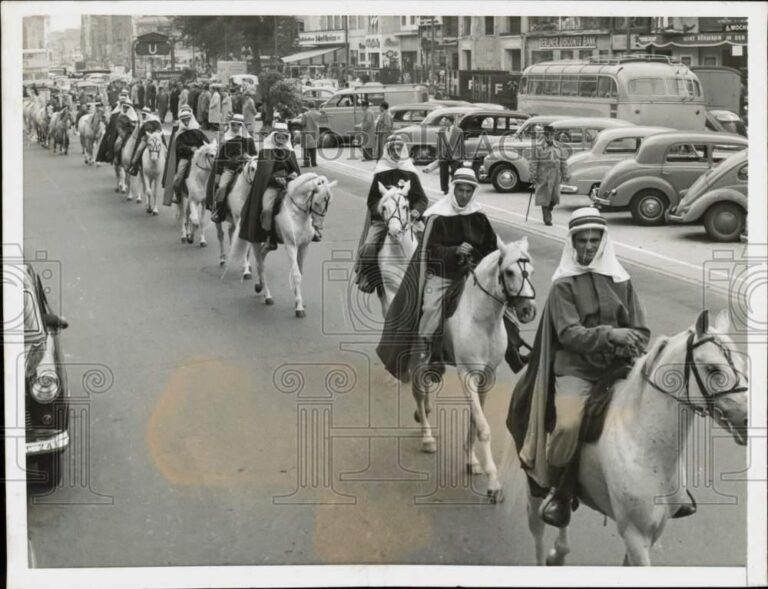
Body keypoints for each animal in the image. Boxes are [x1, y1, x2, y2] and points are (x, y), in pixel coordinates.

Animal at [226, 172, 338, 316]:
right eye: (317, 202)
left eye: (330, 202)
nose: (319, 226)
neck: (296, 213)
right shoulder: (291, 246)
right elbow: (296, 275)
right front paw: (299, 308)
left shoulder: (303, 247)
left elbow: (300, 272)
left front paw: (298, 300)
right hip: (256, 241)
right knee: (260, 264)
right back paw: (267, 295)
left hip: (270, 244)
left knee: (262, 256)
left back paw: (259, 285)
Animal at [414, 239, 536, 500]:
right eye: (509, 272)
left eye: (531, 271)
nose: (528, 311)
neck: (481, 320)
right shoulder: (467, 375)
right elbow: (483, 426)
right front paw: (493, 482)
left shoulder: (487, 377)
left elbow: (474, 418)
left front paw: (471, 460)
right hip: (419, 355)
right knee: (418, 392)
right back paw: (426, 436)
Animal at [512, 310, 748, 564]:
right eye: (713, 369)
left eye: (742, 363)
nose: (747, 419)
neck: (645, 445)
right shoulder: (635, 535)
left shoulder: (652, 533)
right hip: (535, 478)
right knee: (536, 524)